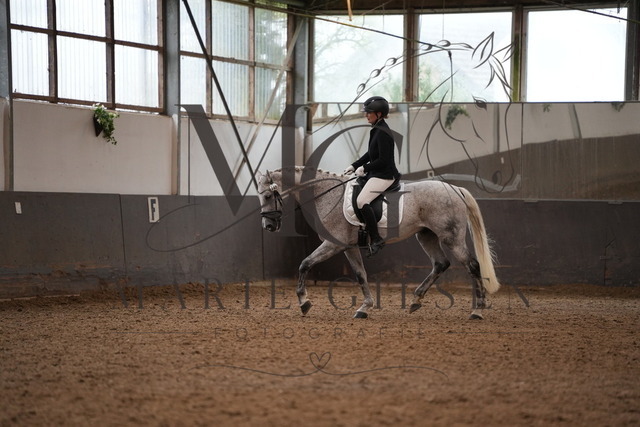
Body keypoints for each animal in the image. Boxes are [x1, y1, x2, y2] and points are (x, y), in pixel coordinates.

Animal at [256, 166, 500, 319]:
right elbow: (360, 275)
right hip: (426, 235)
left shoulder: (333, 245)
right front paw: (364, 308)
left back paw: (477, 311)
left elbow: (304, 264)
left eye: (267, 196)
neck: (326, 195)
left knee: (472, 266)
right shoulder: (349, 248)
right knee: (440, 264)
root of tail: (455, 189)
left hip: (451, 237)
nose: (268, 226)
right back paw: (416, 300)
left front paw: (304, 303)